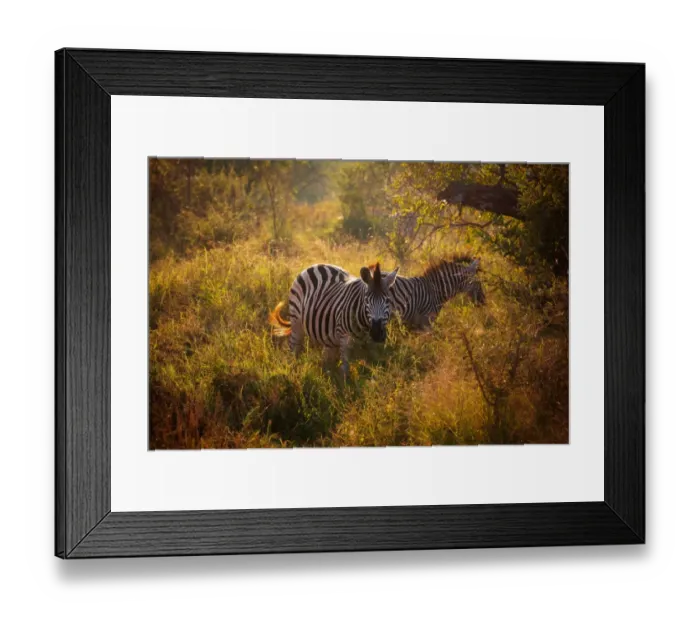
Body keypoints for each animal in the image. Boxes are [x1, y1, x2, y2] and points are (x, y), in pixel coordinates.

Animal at [269, 262, 399, 376]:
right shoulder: (344, 339)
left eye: (388, 300)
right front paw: (345, 388)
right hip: (297, 322)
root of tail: (316, 265)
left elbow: (374, 370)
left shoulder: (372, 346)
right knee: (294, 349)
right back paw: (292, 373)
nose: (377, 333)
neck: (364, 326)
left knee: (327, 359)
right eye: (366, 301)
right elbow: (345, 370)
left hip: (329, 337)